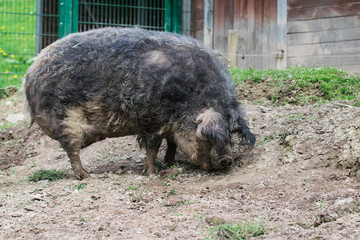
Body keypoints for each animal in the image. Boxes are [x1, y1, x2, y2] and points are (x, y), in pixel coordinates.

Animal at [24, 27, 256, 179]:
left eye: (230, 132)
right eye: (208, 136)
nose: (227, 160)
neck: (189, 96)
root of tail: (30, 71)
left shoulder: (168, 124)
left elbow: (171, 143)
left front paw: (170, 163)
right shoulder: (152, 119)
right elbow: (153, 147)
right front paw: (152, 173)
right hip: (65, 121)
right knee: (72, 151)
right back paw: (89, 176)